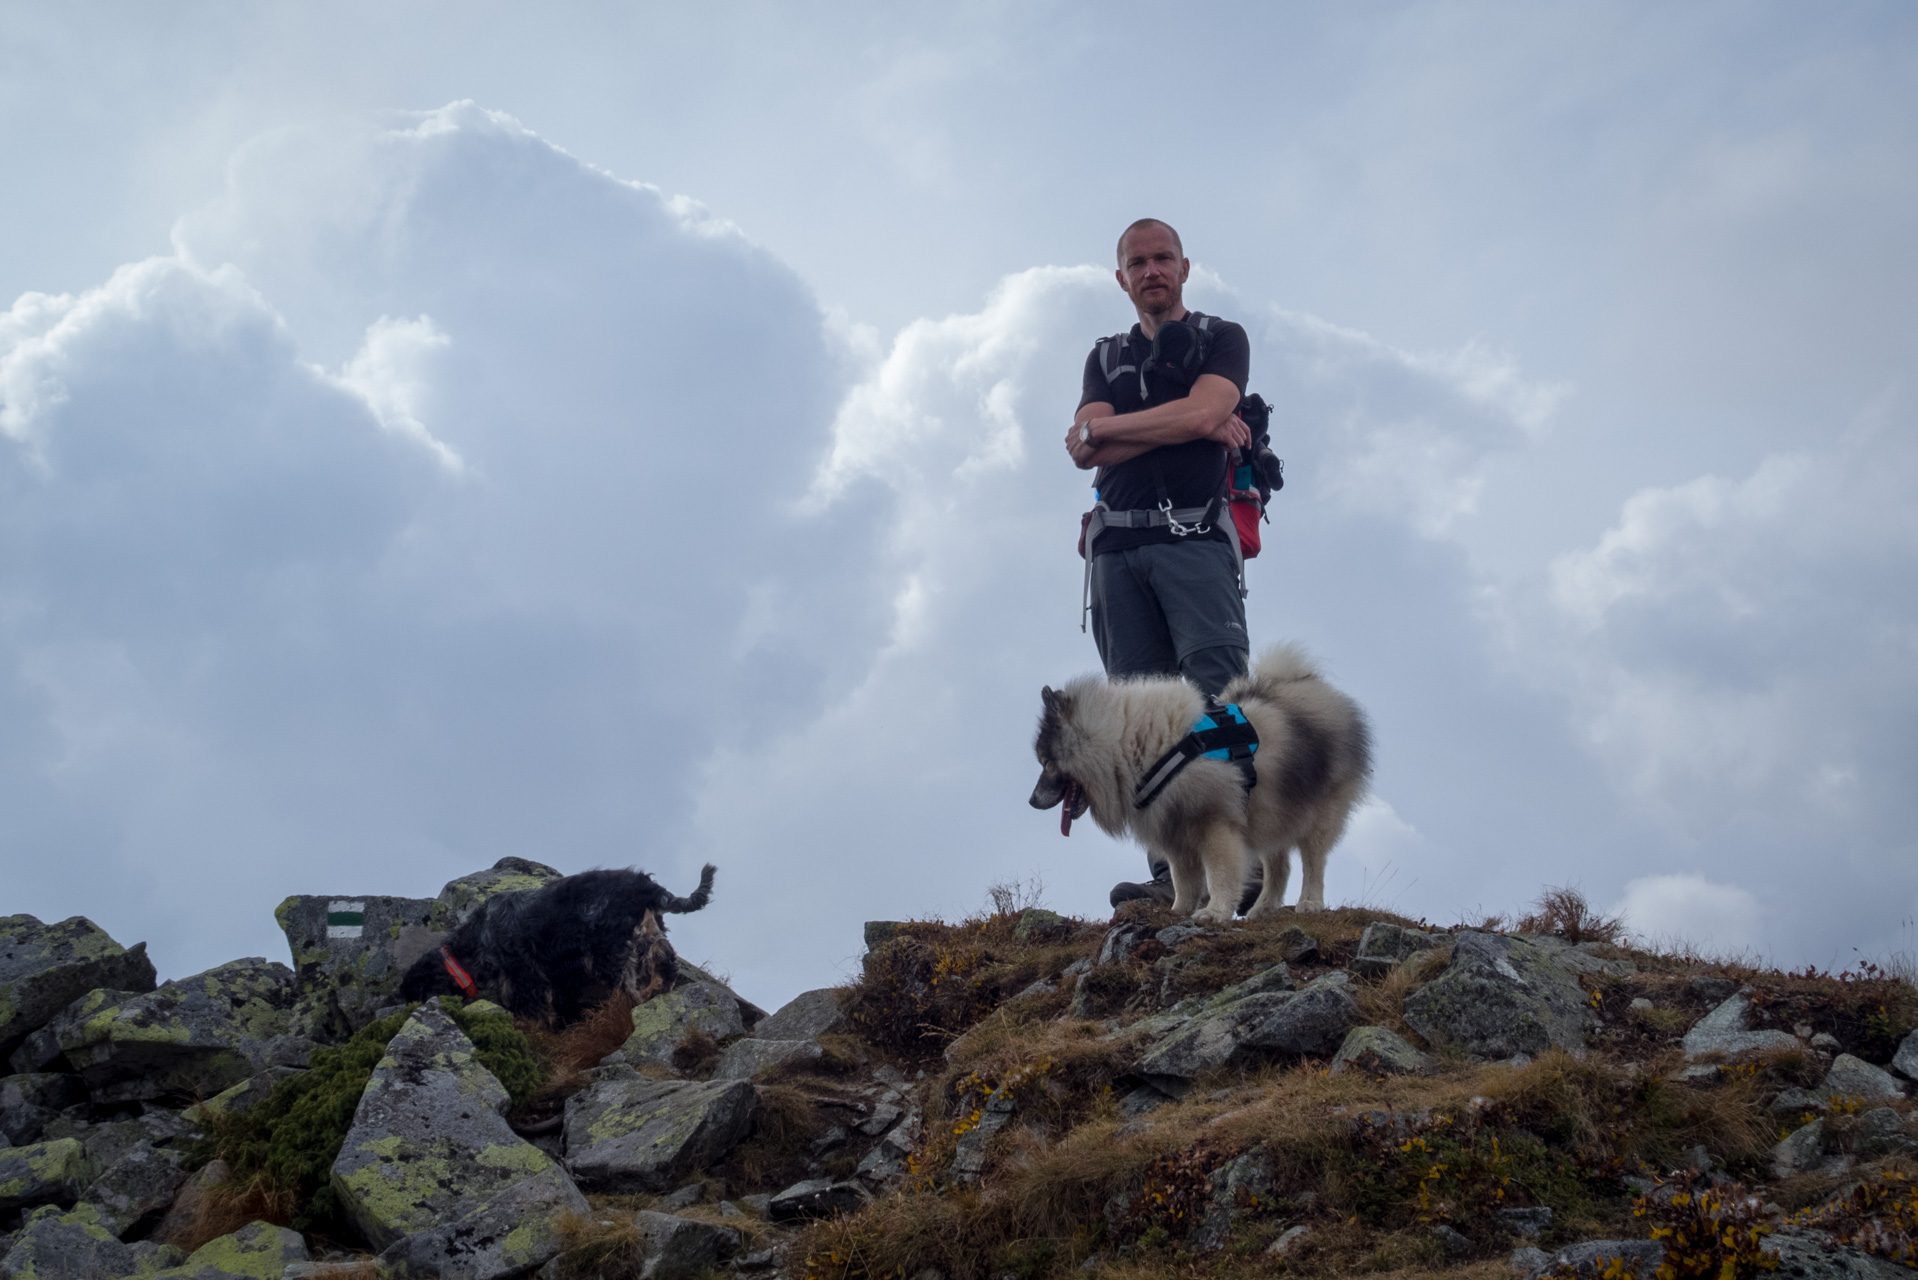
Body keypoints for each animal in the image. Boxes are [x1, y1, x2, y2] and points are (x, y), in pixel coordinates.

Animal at [400, 867, 717, 1028]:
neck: (478, 938)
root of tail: (645, 887)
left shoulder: (526, 975)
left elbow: (535, 1010)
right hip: (649, 933)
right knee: (665, 961)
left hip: (609, 951)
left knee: (628, 988)